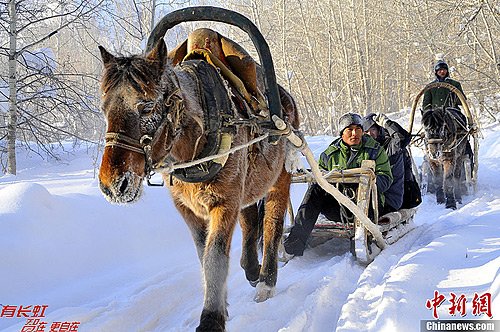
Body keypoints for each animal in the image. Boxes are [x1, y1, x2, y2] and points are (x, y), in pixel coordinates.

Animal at [99, 29, 298, 332]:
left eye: (146, 107)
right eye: (104, 108)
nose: (112, 184)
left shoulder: (224, 204)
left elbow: (214, 258)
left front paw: (211, 319)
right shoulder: (188, 209)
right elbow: (203, 257)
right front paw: (221, 306)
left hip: (280, 179)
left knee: (271, 224)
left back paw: (266, 281)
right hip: (249, 186)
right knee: (251, 222)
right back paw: (251, 268)